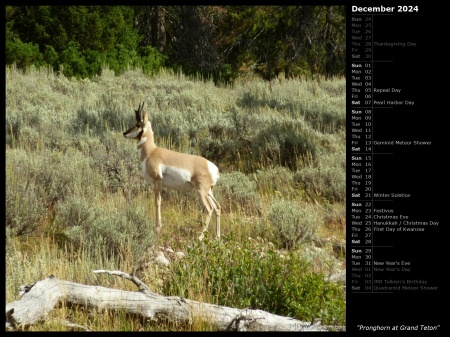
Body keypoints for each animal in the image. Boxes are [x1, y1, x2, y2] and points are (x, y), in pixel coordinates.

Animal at [123, 101, 221, 240]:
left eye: (138, 124)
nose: (124, 133)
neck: (152, 151)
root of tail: (213, 167)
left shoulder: (157, 182)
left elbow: (157, 202)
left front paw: (157, 228)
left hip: (201, 192)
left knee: (209, 209)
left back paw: (200, 236)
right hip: (209, 191)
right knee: (217, 207)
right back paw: (217, 236)